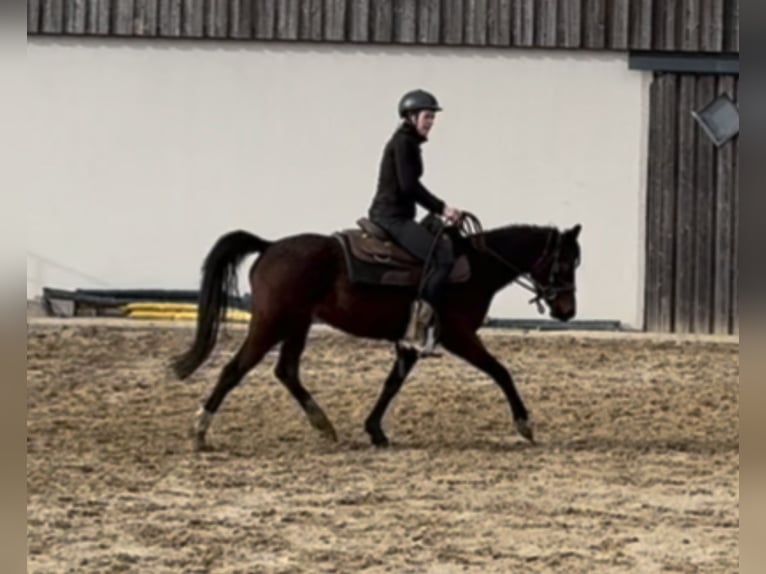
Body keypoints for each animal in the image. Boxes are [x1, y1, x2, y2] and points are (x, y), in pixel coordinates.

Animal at [172, 214, 584, 452]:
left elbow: (392, 383)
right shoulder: (459, 336)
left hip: (296, 324)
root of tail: (270, 247)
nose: (568, 311)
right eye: (565, 262)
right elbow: (501, 371)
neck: (476, 267)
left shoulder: (412, 343)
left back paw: (323, 425)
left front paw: (374, 430)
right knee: (234, 369)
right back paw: (199, 430)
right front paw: (525, 424)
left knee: (286, 371)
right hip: (271, 323)